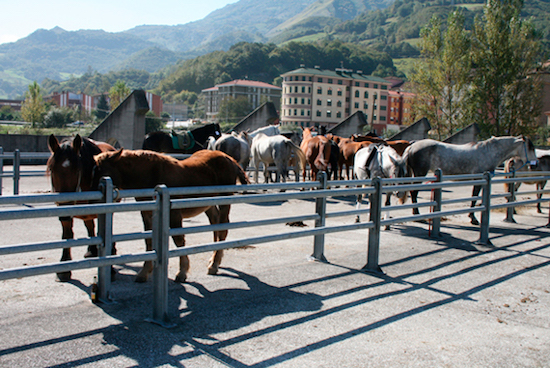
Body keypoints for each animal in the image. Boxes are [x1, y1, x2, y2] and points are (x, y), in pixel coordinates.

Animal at [47, 135, 116, 282]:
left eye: (77, 170)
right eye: (52, 169)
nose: (65, 212)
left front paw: (111, 268)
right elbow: (67, 235)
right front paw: (64, 268)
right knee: (90, 226)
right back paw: (91, 250)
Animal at [92, 148, 248, 284]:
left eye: (100, 172)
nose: (93, 201)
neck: (152, 175)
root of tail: (230, 159)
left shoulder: (174, 214)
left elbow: (178, 240)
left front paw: (182, 272)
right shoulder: (147, 214)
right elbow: (149, 242)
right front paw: (144, 272)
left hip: (224, 201)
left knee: (222, 229)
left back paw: (214, 264)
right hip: (208, 203)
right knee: (215, 224)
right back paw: (213, 258)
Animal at [404, 135, 536, 224]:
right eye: (530, 147)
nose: (535, 164)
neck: (488, 152)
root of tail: (412, 146)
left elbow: (476, 197)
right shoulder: (478, 179)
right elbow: (474, 197)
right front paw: (473, 219)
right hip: (420, 173)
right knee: (414, 192)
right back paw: (417, 214)